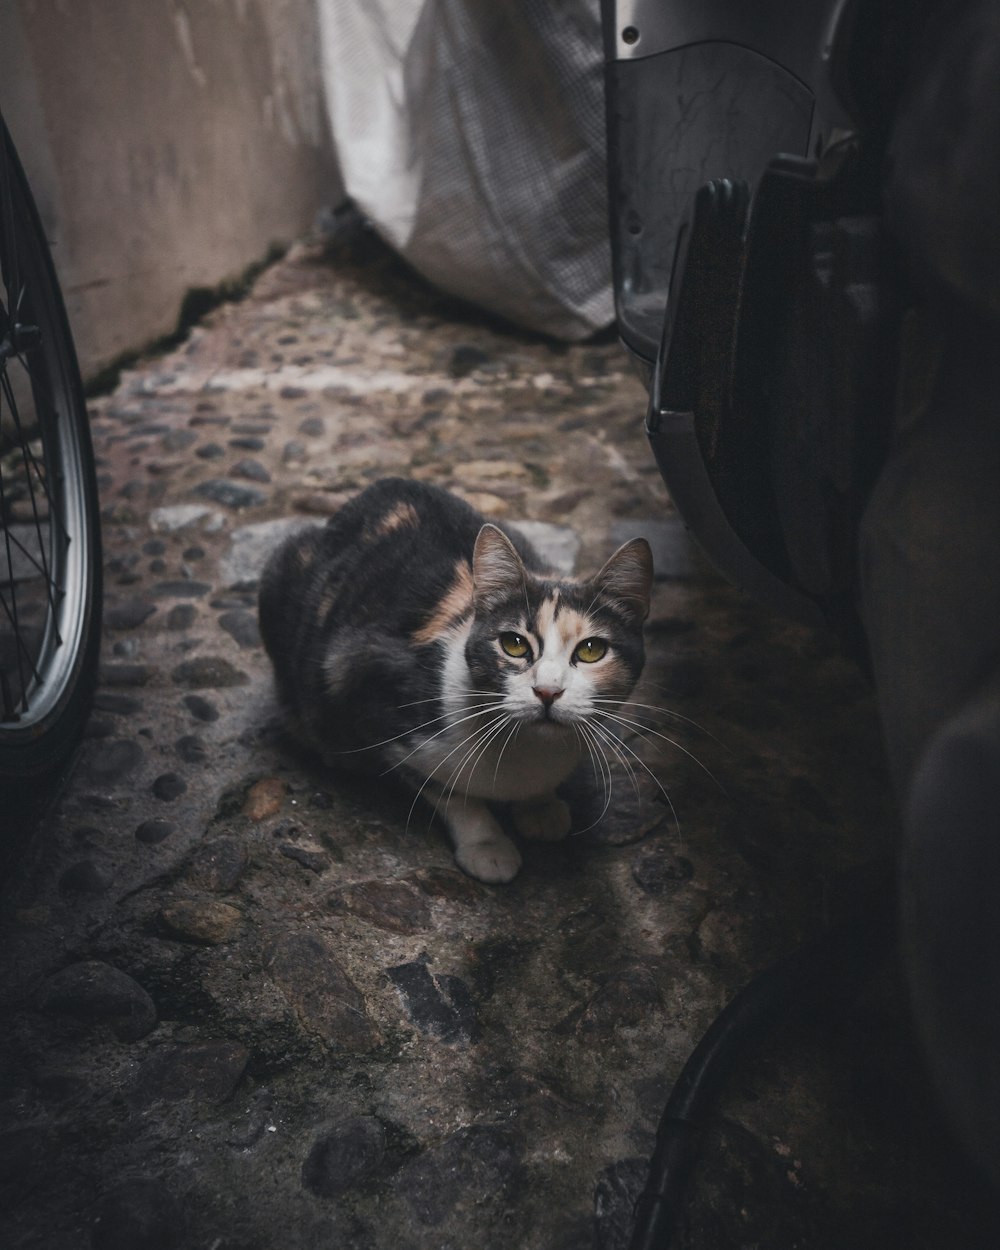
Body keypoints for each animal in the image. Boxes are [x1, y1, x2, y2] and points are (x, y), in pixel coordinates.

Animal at [256, 475, 655, 880]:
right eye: (514, 644)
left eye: (591, 650)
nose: (547, 691)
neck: (528, 750)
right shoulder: (369, 695)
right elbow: (448, 792)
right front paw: (487, 844)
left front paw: (541, 806)